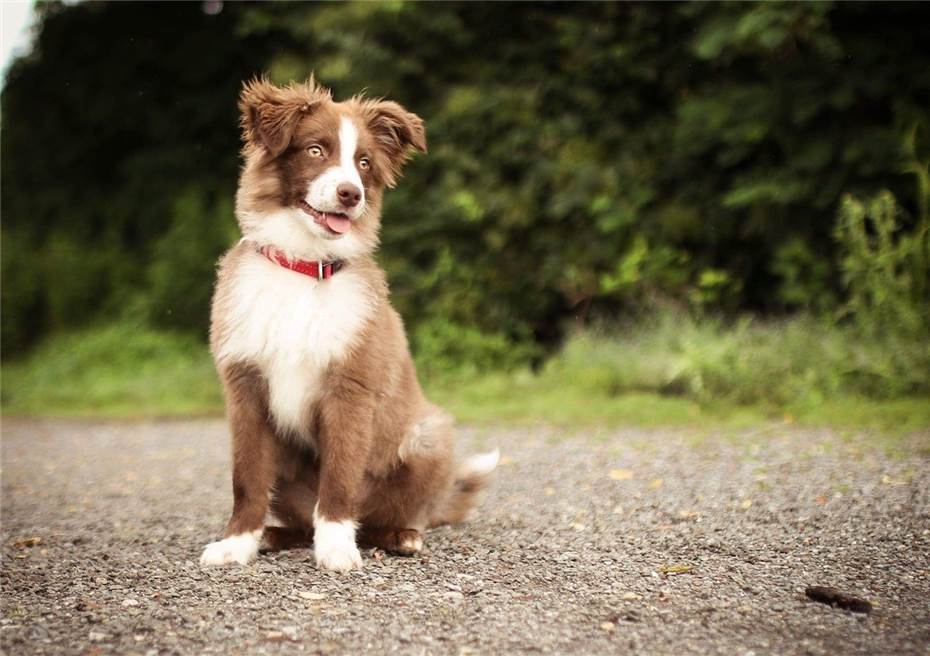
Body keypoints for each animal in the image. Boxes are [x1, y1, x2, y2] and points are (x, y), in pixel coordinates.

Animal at [199, 75, 496, 568]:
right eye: (316, 150)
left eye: (364, 163)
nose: (350, 194)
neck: (304, 266)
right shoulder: (245, 388)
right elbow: (247, 477)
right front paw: (237, 542)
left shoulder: (350, 390)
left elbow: (339, 480)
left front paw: (337, 548)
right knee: (302, 521)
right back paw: (275, 535)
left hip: (428, 436)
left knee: (389, 514)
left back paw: (400, 536)